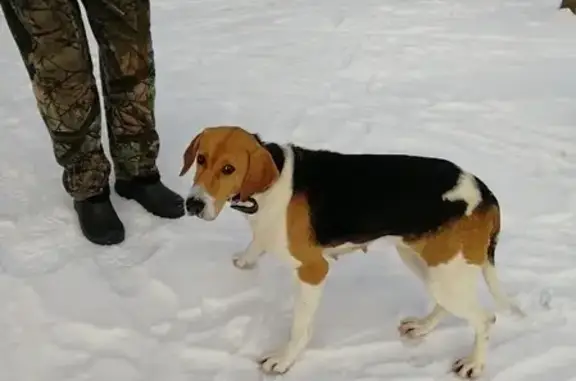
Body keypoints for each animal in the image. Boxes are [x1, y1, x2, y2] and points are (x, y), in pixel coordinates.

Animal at [179, 124, 520, 378]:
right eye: (201, 159)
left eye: (229, 168)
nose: (193, 205)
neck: (268, 186)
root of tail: (485, 193)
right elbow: (257, 242)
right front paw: (246, 258)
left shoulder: (313, 270)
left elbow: (299, 326)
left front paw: (284, 359)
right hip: (426, 262)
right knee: (448, 306)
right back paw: (423, 326)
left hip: (444, 272)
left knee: (485, 319)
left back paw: (474, 364)